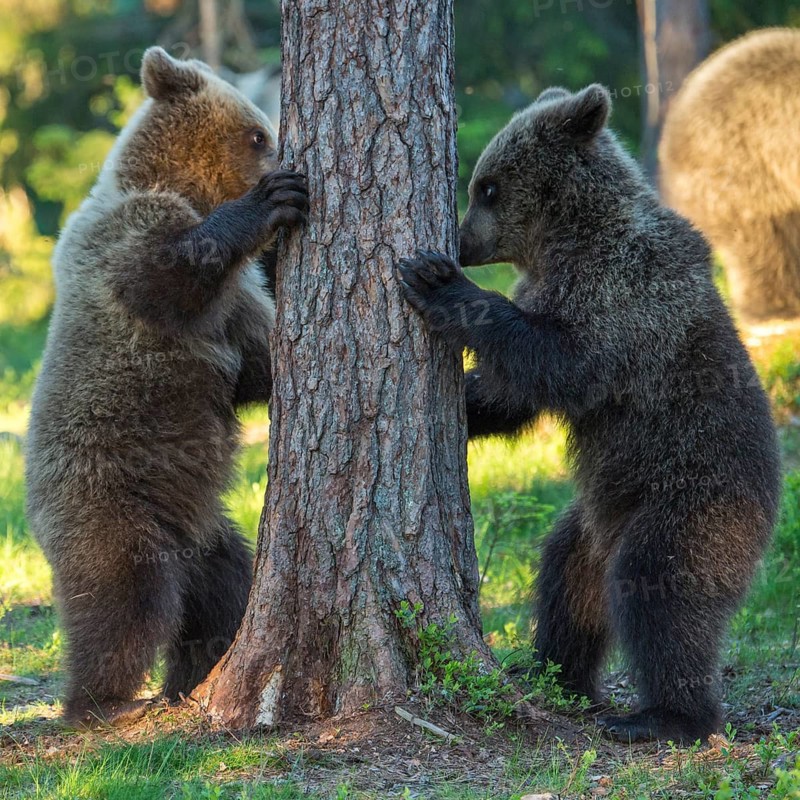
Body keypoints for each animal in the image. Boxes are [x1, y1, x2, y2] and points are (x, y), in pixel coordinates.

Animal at [25, 47, 308, 727]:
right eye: (257, 134)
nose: (285, 157)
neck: (178, 184)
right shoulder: (124, 245)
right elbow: (167, 273)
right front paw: (271, 200)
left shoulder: (236, 313)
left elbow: (257, 365)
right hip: (110, 504)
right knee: (124, 601)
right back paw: (97, 699)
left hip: (200, 532)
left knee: (220, 590)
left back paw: (198, 672)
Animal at [397, 85, 781, 742]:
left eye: (486, 186)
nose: (461, 245)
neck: (569, 237)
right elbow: (515, 393)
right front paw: (469, 404)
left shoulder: (621, 291)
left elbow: (562, 362)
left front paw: (438, 284)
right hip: (595, 519)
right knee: (566, 582)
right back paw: (552, 673)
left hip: (693, 498)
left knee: (661, 591)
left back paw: (664, 716)